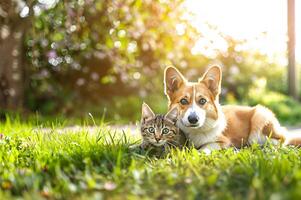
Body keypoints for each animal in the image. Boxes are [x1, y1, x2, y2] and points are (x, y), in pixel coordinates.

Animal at [163, 65, 298, 150]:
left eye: (202, 101)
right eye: (183, 101)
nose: (193, 119)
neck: (195, 131)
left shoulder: (222, 142)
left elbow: (206, 147)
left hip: (260, 118)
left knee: (280, 140)